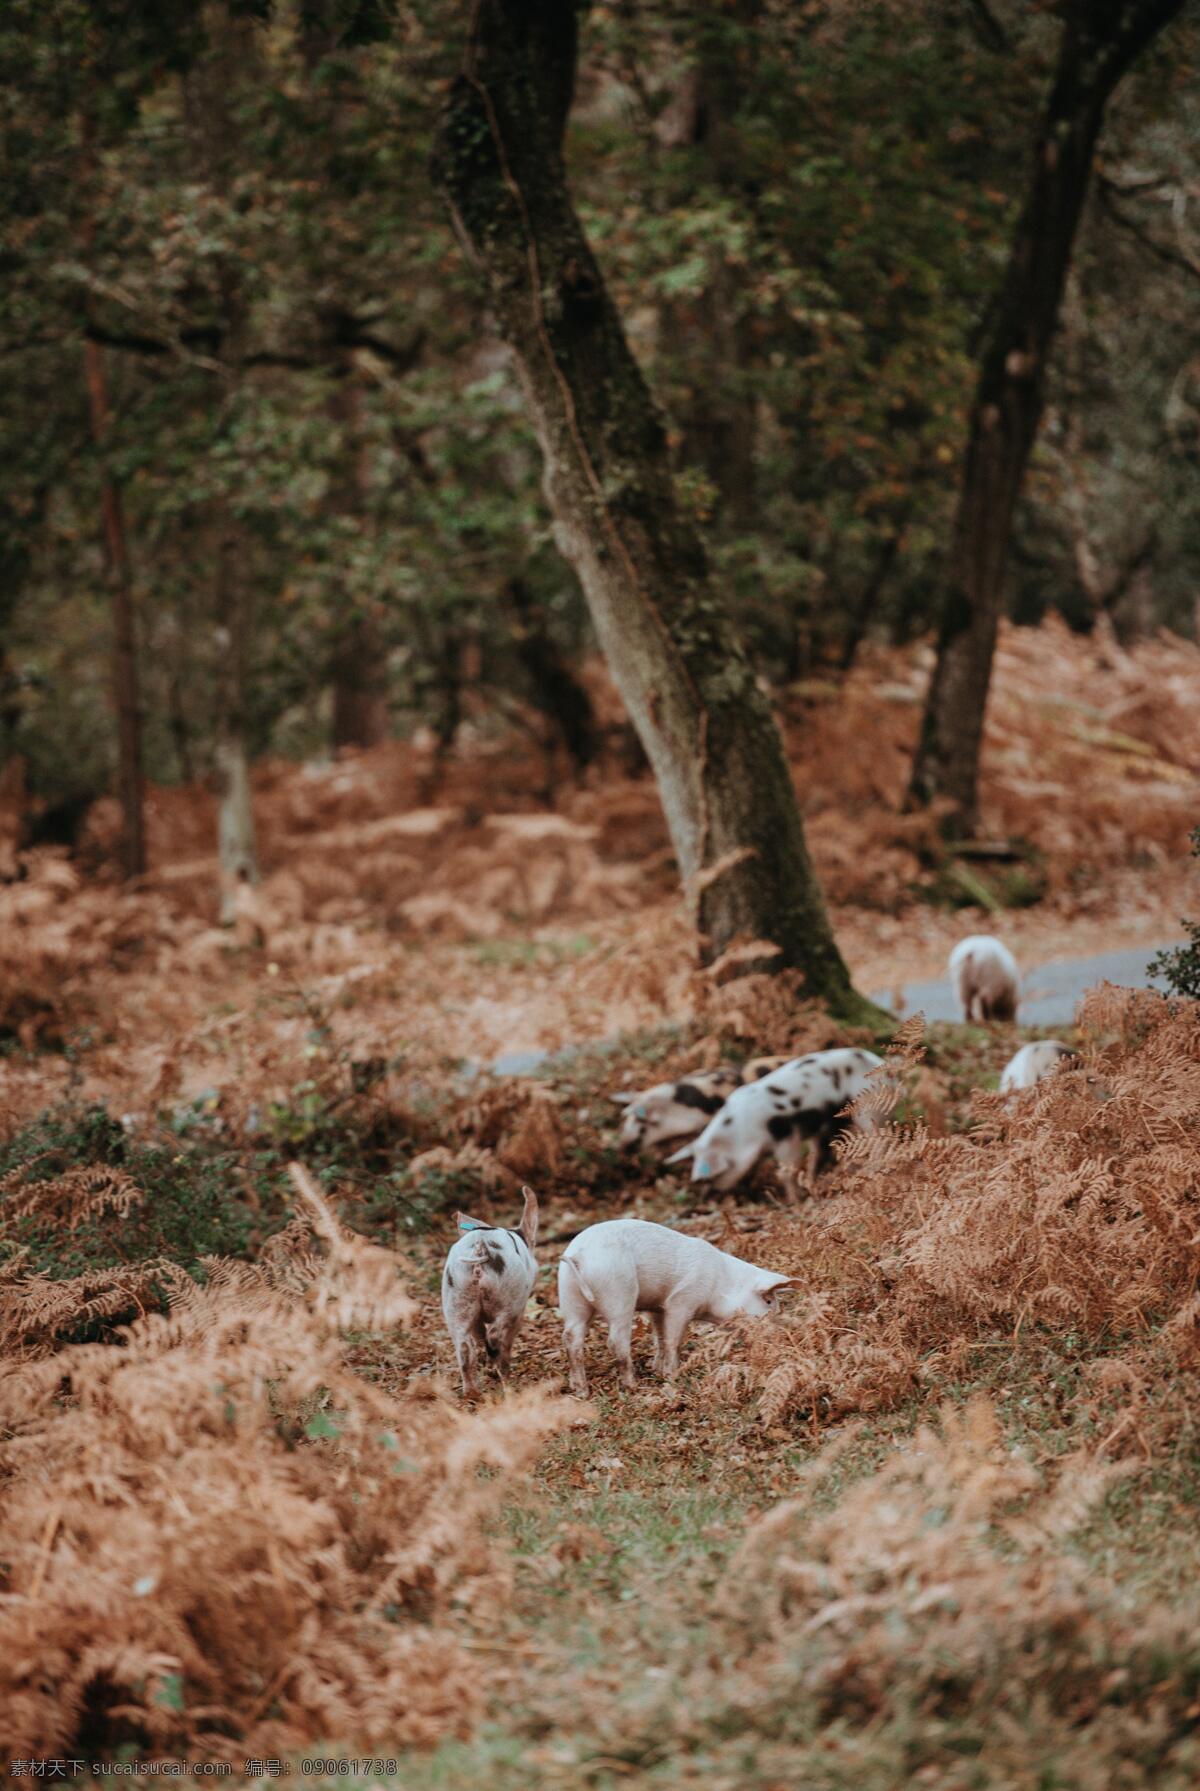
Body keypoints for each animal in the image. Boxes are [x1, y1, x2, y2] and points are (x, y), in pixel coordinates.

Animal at [673, 1045, 888, 1189]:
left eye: (712, 1176)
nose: (713, 1194)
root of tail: (877, 1061)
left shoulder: (787, 1135)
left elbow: (785, 1172)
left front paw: (793, 1200)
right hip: (831, 1122)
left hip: (866, 1109)